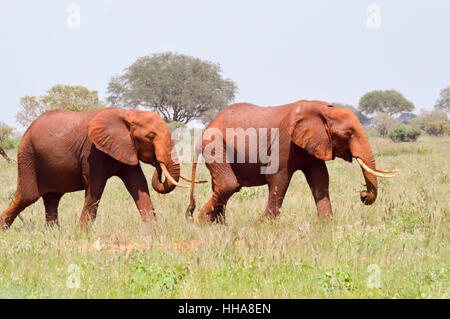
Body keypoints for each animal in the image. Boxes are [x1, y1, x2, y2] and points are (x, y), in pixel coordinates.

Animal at [186, 101, 398, 224]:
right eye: (349, 134)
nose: (363, 195)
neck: (324, 110)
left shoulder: (315, 144)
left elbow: (320, 179)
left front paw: (326, 224)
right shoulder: (284, 141)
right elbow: (278, 178)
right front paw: (262, 225)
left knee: (221, 186)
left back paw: (217, 225)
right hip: (215, 145)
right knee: (229, 184)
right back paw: (201, 222)